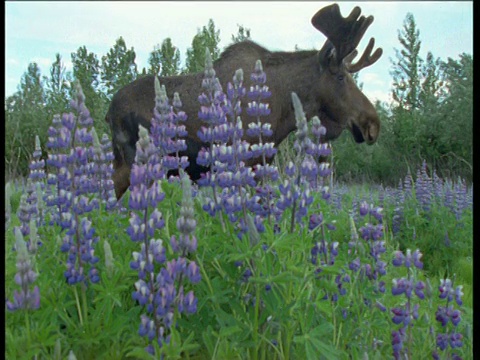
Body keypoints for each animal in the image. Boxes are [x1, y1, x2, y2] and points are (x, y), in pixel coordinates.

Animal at [107, 3, 384, 200]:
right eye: (340, 77)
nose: (373, 124)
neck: (284, 111)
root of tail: (108, 111)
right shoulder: (247, 162)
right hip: (134, 162)